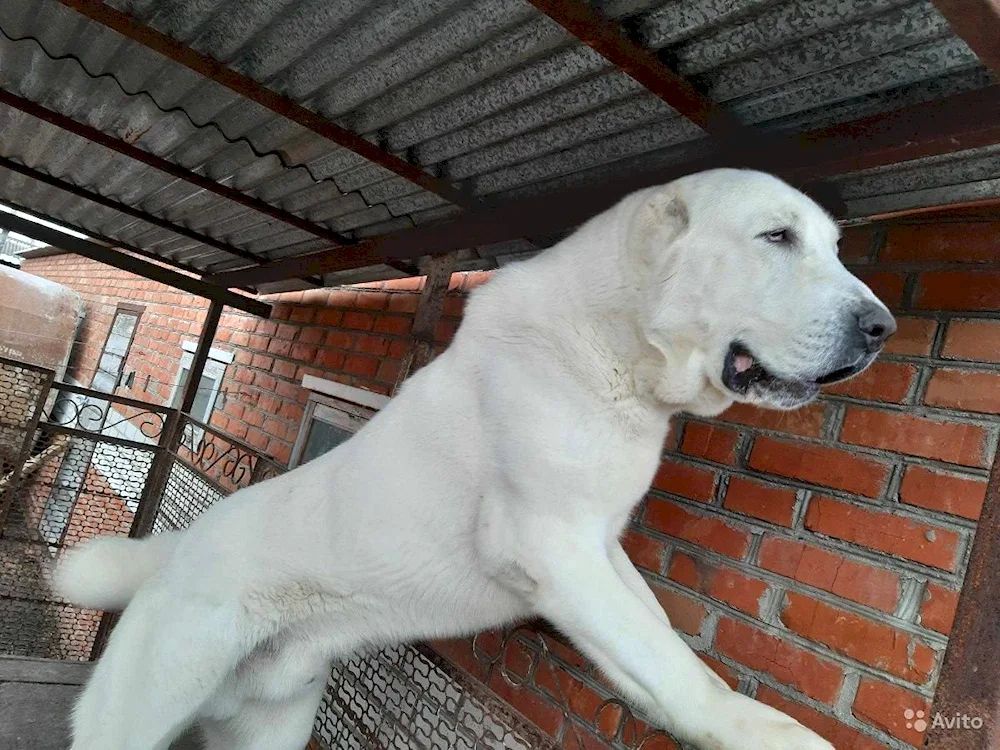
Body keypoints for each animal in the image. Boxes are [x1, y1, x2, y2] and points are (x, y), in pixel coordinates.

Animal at [56, 170, 900, 750]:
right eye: (776, 238)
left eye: (832, 247)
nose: (881, 328)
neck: (615, 351)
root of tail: (175, 550)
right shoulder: (549, 541)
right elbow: (666, 654)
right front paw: (759, 730)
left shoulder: (598, 546)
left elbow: (651, 632)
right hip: (143, 704)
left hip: (271, 725)